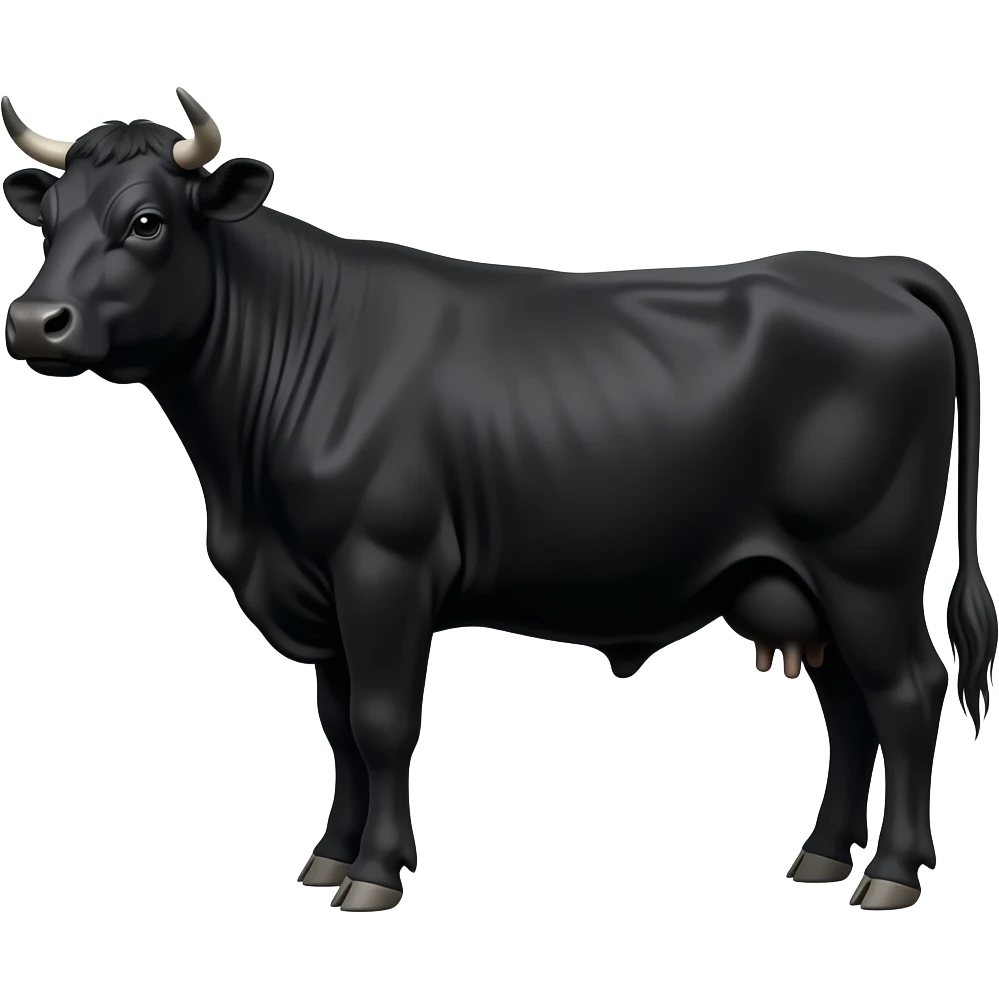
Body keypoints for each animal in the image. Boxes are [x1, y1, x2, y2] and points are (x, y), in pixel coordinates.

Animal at [2, 89, 995, 914]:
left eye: (145, 221)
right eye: (46, 221)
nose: (32, 322)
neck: (246, 493)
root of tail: (870, 271)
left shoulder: (383, 567)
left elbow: (382, 722)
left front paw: (374, 875)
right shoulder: (320, 589)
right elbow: (338, 727)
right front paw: (327, 858)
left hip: (866, 568)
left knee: (908, 692)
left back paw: (890, 876)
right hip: (799, 583)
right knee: (851, 708)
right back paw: (822, 858)